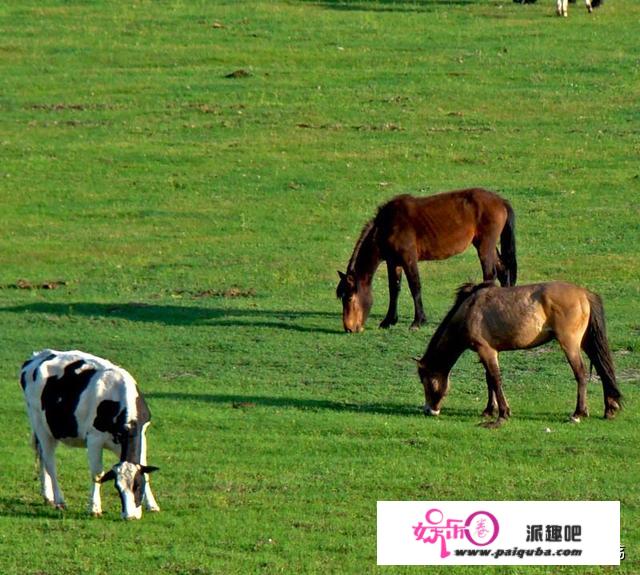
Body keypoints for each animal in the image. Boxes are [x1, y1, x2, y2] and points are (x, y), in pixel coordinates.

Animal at [20, 348, 160, 520]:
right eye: (118, 488)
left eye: (138, 486)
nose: (130, 516)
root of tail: (38, 356)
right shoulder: (94, 439)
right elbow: (97, 474)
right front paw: (94, 508)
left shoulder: (142, 434)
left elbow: (145, 470)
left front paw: (152, 505)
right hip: (40, 424)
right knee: (50, 462)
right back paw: (59, 500)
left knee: (41, 456)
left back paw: (47, 496)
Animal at [338, 189, 516, 332]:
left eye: (349, 298)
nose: (349, 328)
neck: (388, 225)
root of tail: (500, 201)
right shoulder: (393, 262)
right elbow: (394, 289)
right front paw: (389, 321)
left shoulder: (408, 259)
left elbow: (415, 287)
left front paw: (418, 321)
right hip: (484, 245)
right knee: (503, 270)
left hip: (485, 247)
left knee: (490, 275)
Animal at [418, 282, 624, 426]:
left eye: (426, 381)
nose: (429, 410)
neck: (469, 310)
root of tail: (584, 293)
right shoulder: (491, 352)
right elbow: (489, 379)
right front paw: (489, 409)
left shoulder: (486, 350)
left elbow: (495, 379)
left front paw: (503, 412)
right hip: (587, 342)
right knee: (602, 368)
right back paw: (609, 408)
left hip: (570, 344)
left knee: (581, 374)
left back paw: (577, 414)